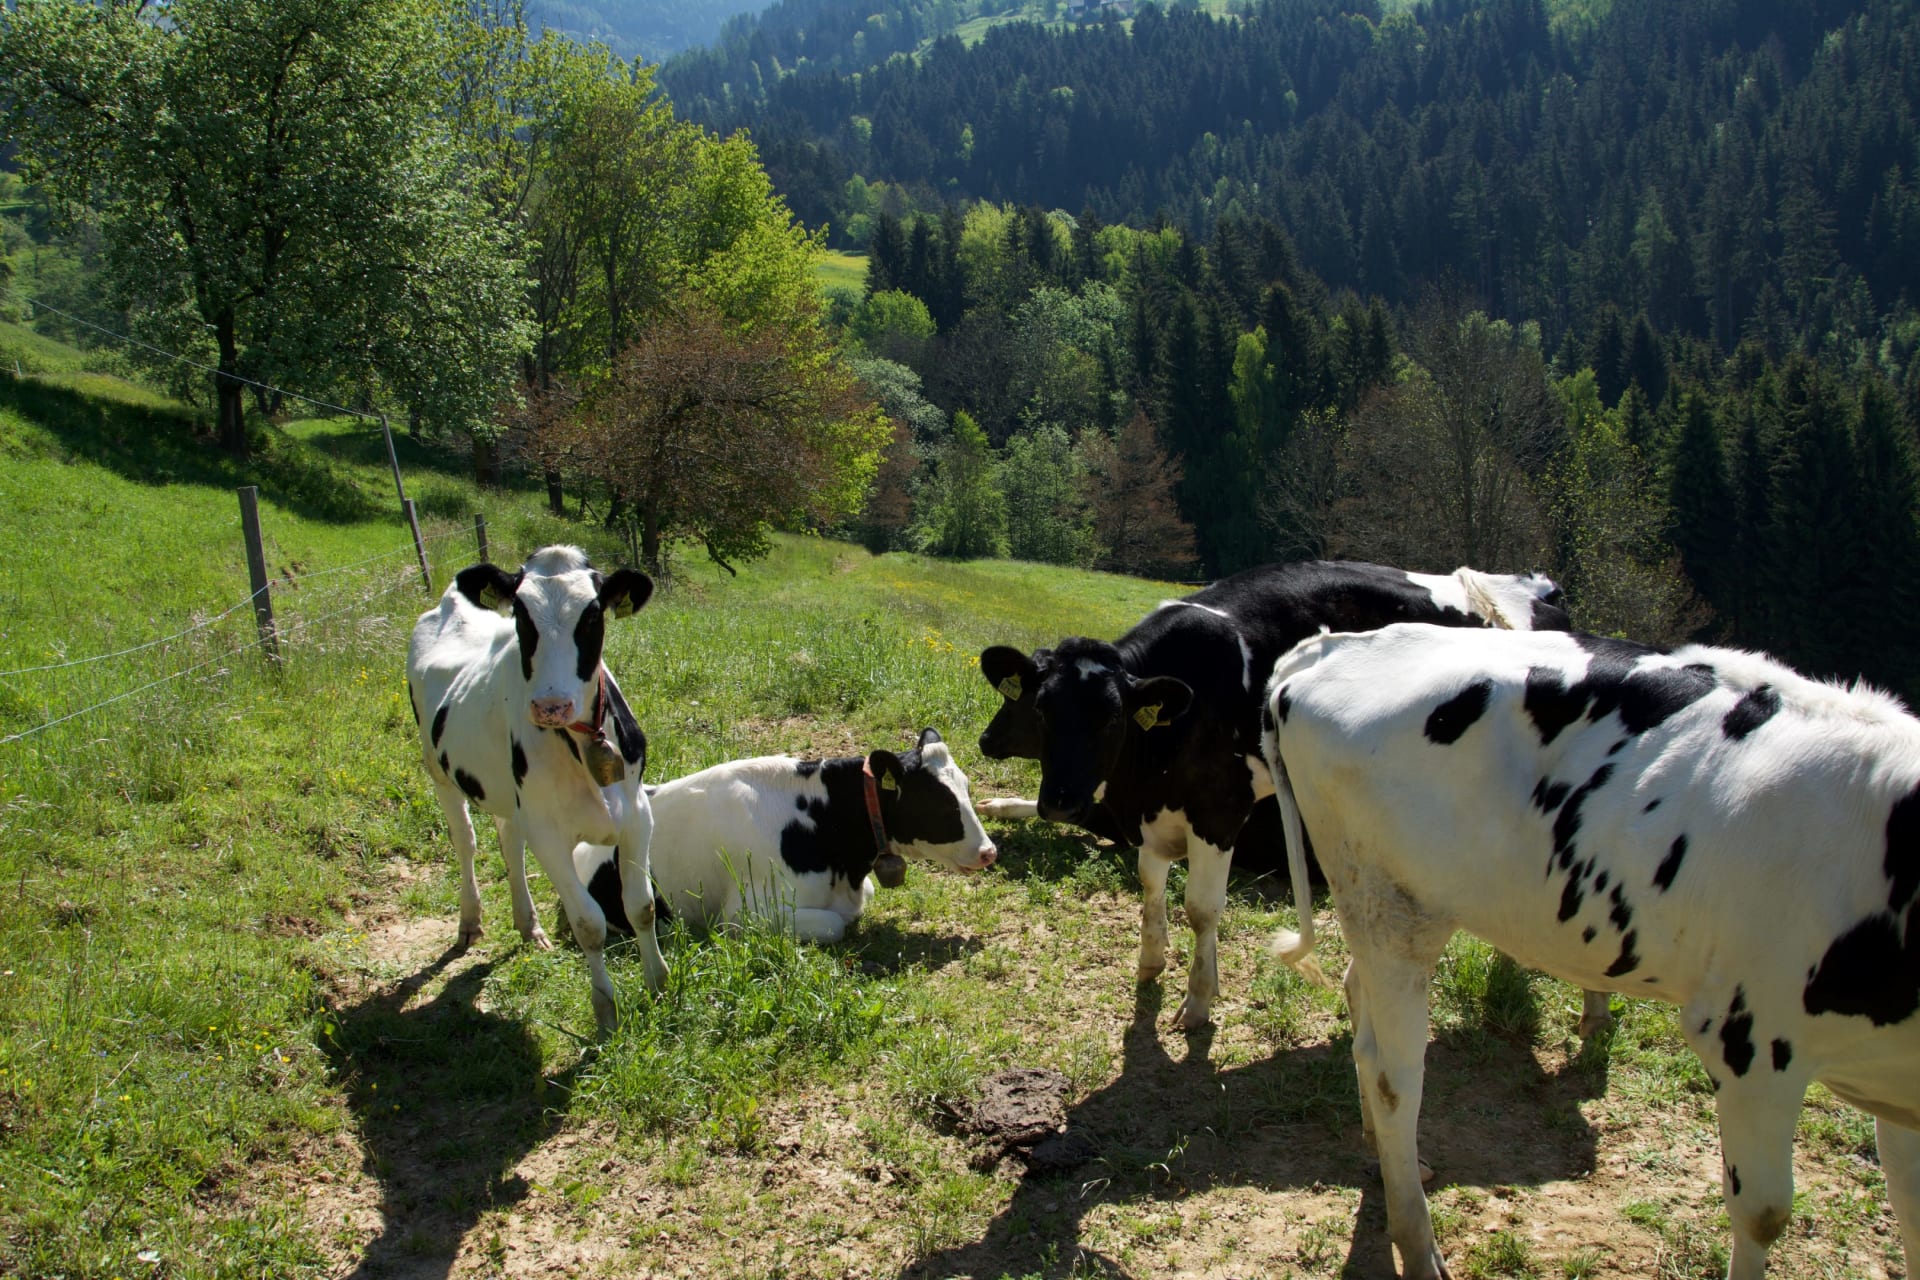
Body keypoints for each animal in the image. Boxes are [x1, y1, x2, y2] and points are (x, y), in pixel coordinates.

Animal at [406, 545, 666, 1034]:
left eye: (592, 614)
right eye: (522, 615)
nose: (551, 705)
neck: (582, 744)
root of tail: (451, 599)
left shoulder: (637, 814)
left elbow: (640, 905)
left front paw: (658, 984)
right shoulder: (548, 834)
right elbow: (589, 924)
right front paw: (606, 1012)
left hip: (509, 798)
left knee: (508, 839)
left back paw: (528, 924)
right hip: (439, 772)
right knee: (466, 842)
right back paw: (470, 920)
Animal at [975, 559, 1579, 1031]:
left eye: (1111, 719)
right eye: (1041, 708)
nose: (1060, 800)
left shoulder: (1222, 809)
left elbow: (1201, 908)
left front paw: (1199, 999)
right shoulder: (1146, 811)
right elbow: (1151, 885)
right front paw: (1152, 961)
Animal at [1260, 623, 1920, 1280]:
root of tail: (1331, 646)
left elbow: (1908, 1207)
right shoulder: (1754, 1042)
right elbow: (1763, 1212)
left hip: (1388, 912)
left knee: (1358, 1004)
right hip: (1393, 906)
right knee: (1393, 1077)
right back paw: (1418, 1246)